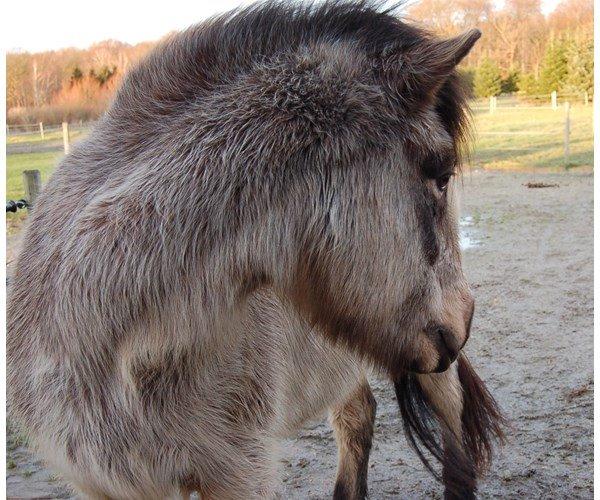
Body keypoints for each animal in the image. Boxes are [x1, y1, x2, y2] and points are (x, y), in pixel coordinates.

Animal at [7, 1, 504, 498]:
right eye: (441, 176)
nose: (464, 319)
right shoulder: (101, 484)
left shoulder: (240, 471)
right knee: (357, 417)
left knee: (450, 417)